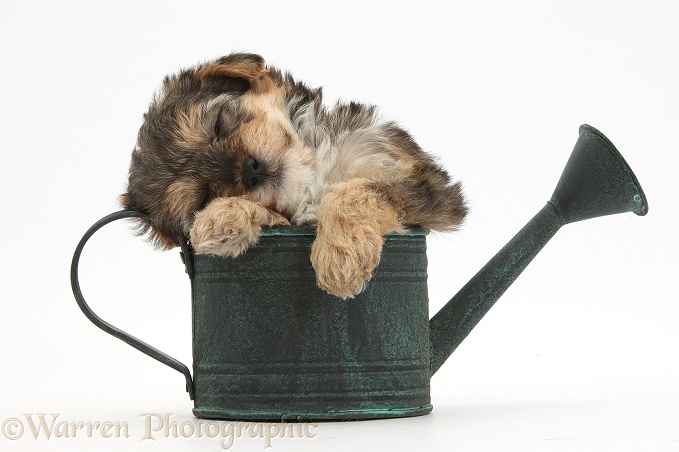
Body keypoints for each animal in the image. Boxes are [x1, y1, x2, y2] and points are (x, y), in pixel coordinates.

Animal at [122, 53, 468, 298]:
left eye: (219, 124)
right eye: (205, 195)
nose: (250, 170)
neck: (311, 176)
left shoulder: (424, 185)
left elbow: (355, 190)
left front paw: (340, 258)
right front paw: (220, 218)